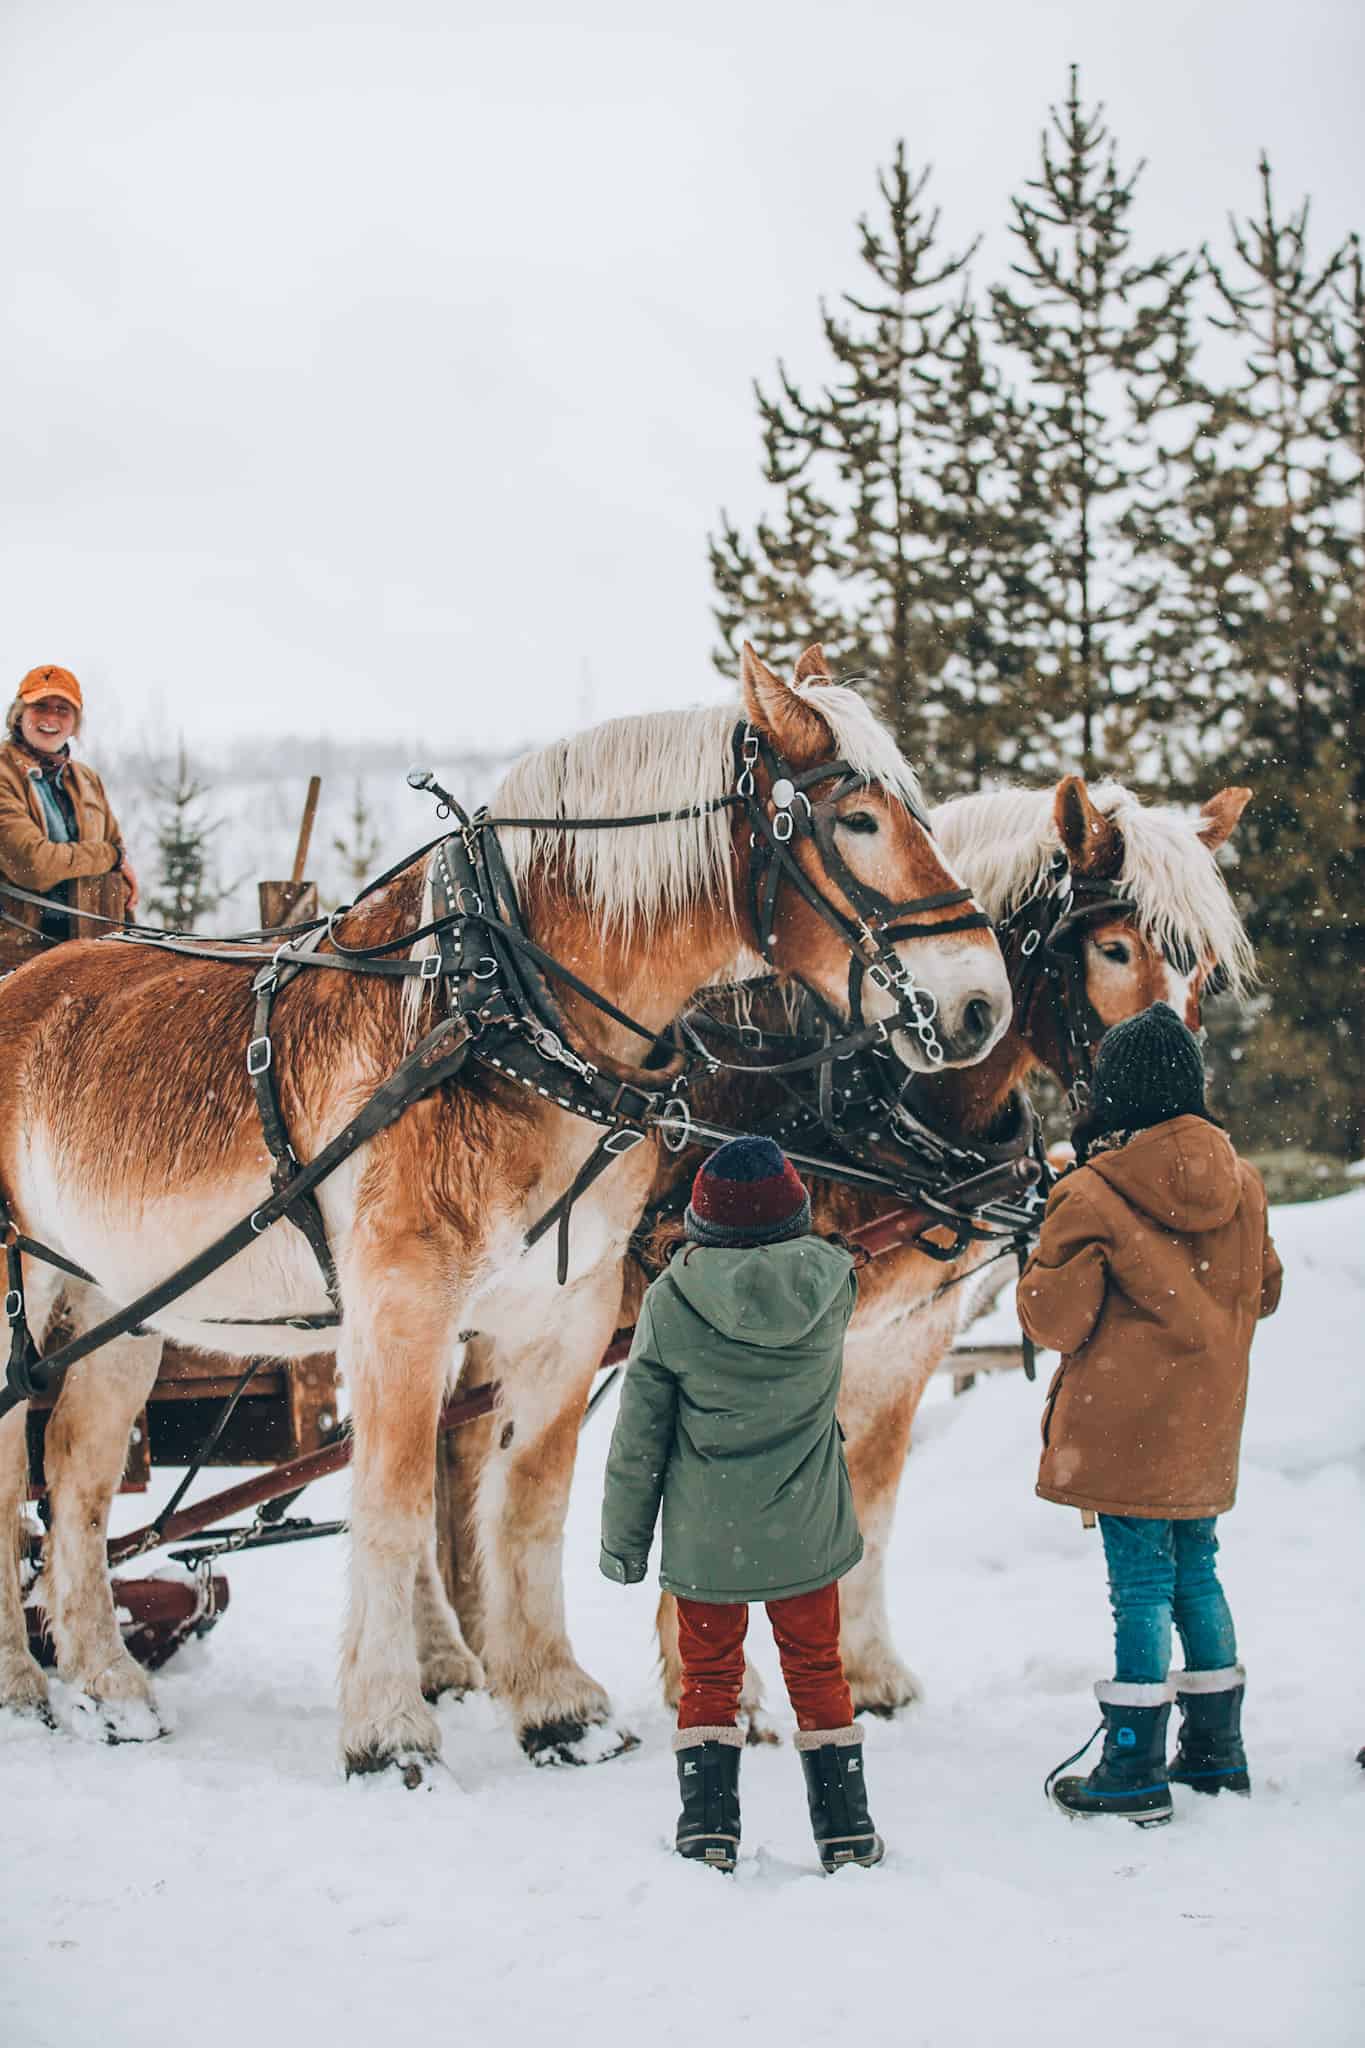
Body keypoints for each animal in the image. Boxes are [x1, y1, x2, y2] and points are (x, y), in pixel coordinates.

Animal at [0, 643, 1015, 1777]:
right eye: (859, 821)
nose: (980, 1003)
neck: (499, 1010)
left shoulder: (564, 1311)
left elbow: (527, 1499)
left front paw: (558, 1704)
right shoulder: (402, 1301)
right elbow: (395, 1503)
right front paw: (388, 1727)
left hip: (114, 1303)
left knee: (79, 1480)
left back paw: (109, 1684)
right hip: (18, 1291)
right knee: (9, 1487)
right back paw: (24, 1686)